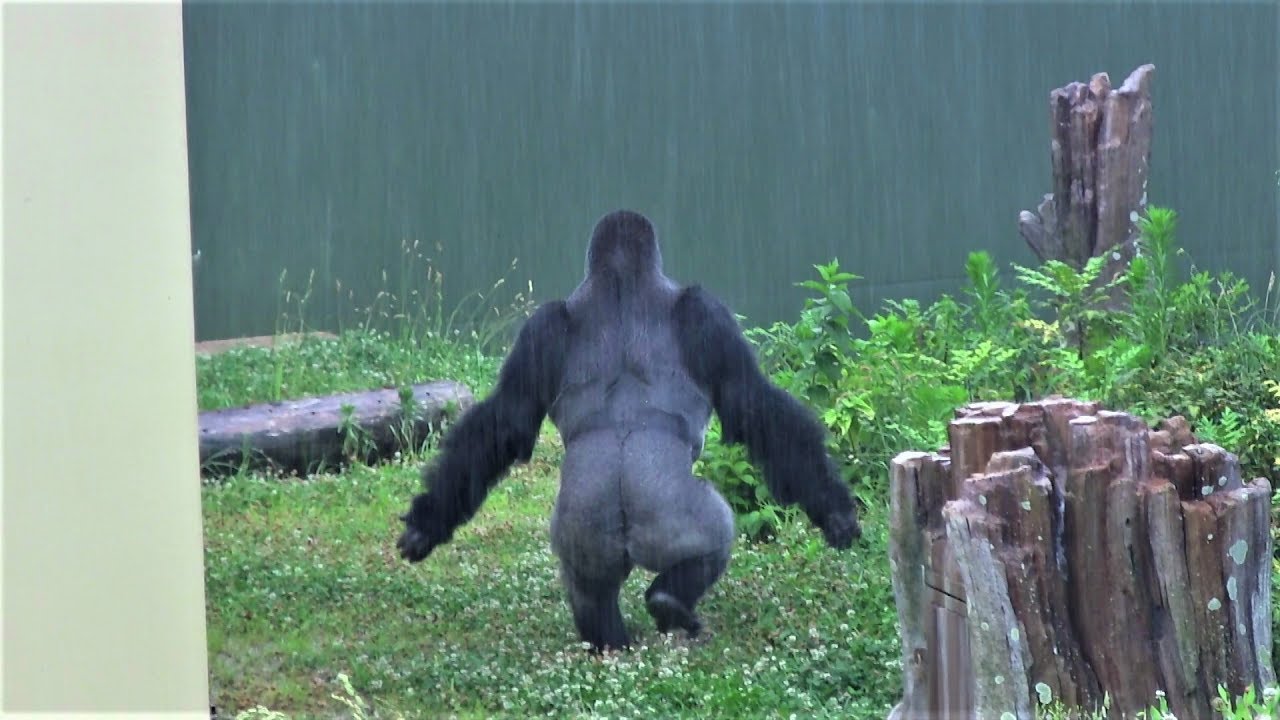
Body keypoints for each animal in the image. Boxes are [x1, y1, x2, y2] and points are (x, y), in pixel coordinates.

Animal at [396, 209, 861, 653]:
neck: (620, 280)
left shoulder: (542, 325)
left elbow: (507, 419)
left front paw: (427, 524)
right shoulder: (704, 310)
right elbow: (750, 402)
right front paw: (836, 511)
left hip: (578, 531)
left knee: (589, 588)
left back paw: (610, 644)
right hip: (669, 516)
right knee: (714, 533)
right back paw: (669, 601)